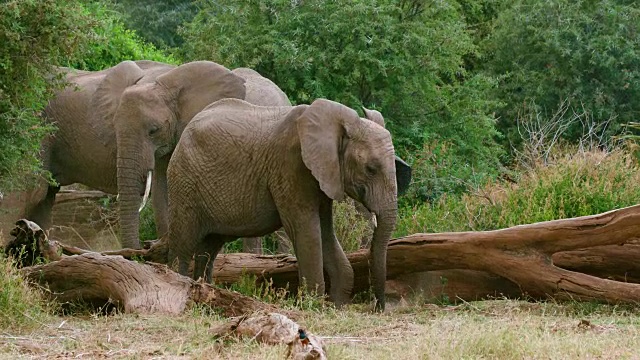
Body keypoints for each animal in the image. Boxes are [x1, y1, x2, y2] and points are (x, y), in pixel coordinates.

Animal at [166, 97, 410, 310]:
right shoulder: (290, 166)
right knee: (183, 244)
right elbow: (307, 230)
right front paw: (314, 304)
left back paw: (205, 289)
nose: (377, 307)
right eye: (370, 169)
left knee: (209, 247)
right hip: (184, 182)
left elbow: (325, 232)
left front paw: (337, 304)